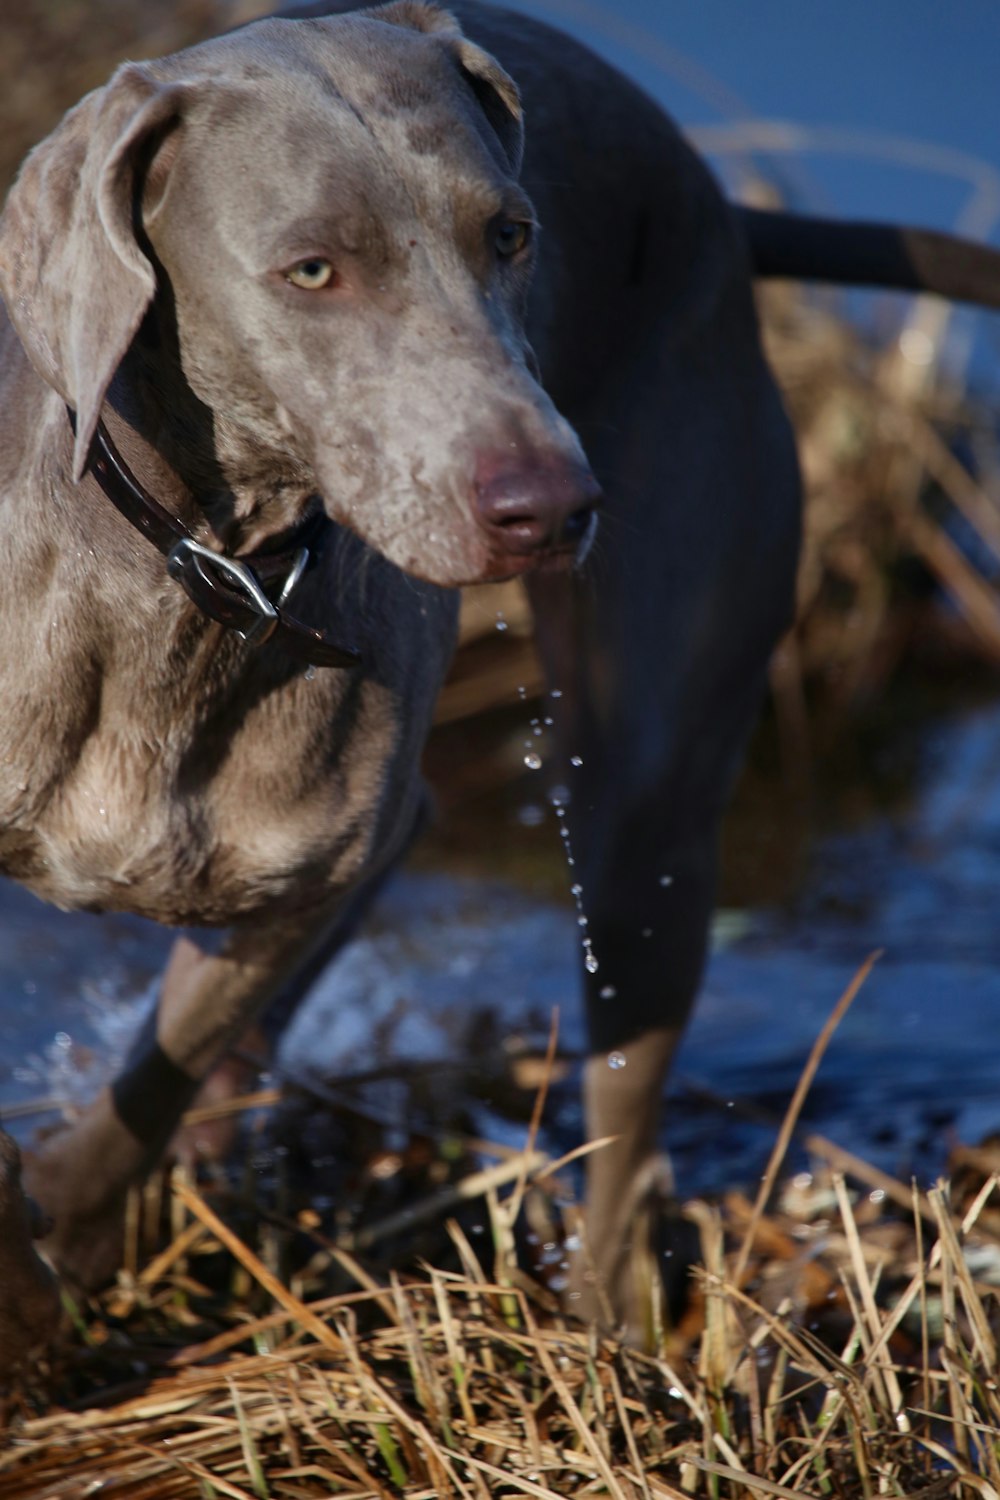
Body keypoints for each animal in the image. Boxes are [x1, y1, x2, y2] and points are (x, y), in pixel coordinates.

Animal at [1, 0, 1000, 1368]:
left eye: (511, 236)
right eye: (311, 270)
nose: (555, 507)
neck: (201, 571)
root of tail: (712, 196)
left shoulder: (322, 848)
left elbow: (161, 1066)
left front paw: (58, 1235)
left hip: (651, 794)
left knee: (626, 1101)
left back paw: (626, 1338)